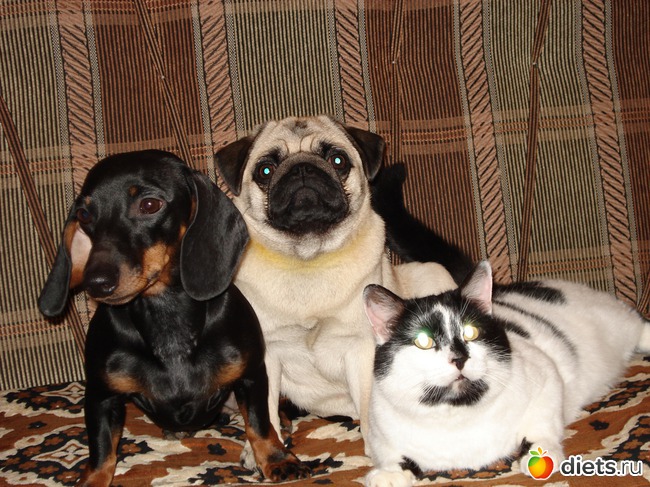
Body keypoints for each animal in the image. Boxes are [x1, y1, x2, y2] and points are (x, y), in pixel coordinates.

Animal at [38, 150, 310, 486]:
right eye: (85, 215)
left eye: (149, 205)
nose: (96, 283)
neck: (168, 320)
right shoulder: (101, 395)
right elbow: (101, 450)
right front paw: (92, 479)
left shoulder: (252, 375)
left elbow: (259, 424)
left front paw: (276, 459)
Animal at [215, 116, 457, 452]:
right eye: (265, 170)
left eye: (337, 160)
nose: (302, 168)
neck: (308, 260)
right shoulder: (266, 354)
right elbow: (263, 411)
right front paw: (263, 450)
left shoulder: (360, 348)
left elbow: (369, 402)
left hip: (433, 274)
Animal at [362, 260, 650, 487]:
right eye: (423, 341)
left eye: (471, 332)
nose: (460, 358)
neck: (456, 417)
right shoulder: (379, 430)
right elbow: (391, 454)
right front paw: (387, 474)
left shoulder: (547, 376)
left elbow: (542, 425)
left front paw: (539, 455)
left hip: (616, 321)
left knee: (639, 325)